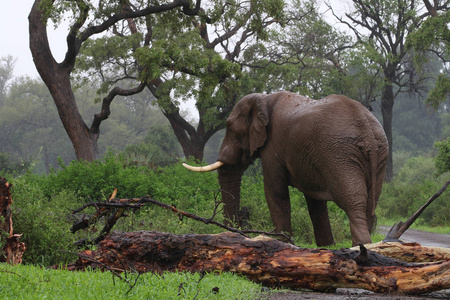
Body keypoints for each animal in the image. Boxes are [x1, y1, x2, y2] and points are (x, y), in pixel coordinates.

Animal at [183, 91, 386, 246]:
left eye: (231, 129)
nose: (235, 232)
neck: (264, 99)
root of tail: (367, 130)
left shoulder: (273, 147)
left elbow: (275, 192)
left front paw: (281, 244)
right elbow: (315, 202)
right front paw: (327, 247)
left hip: (340, 154)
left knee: (352, 200)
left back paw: (362, 246)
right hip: (378, 154)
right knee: (371, 202)